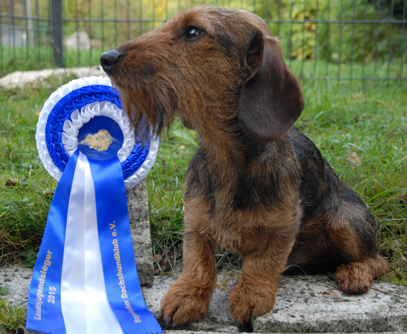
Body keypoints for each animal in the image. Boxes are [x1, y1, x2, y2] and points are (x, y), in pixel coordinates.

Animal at [100, 5, 390, 326]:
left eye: (193, 31)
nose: (106, 58)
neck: (225, 155)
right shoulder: (195, 221)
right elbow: (198, 262)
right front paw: (187, 295)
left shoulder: (283, 227)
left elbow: (262, 263)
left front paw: (251, 295)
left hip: (346, 222)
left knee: (378, 260)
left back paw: (354, 273)